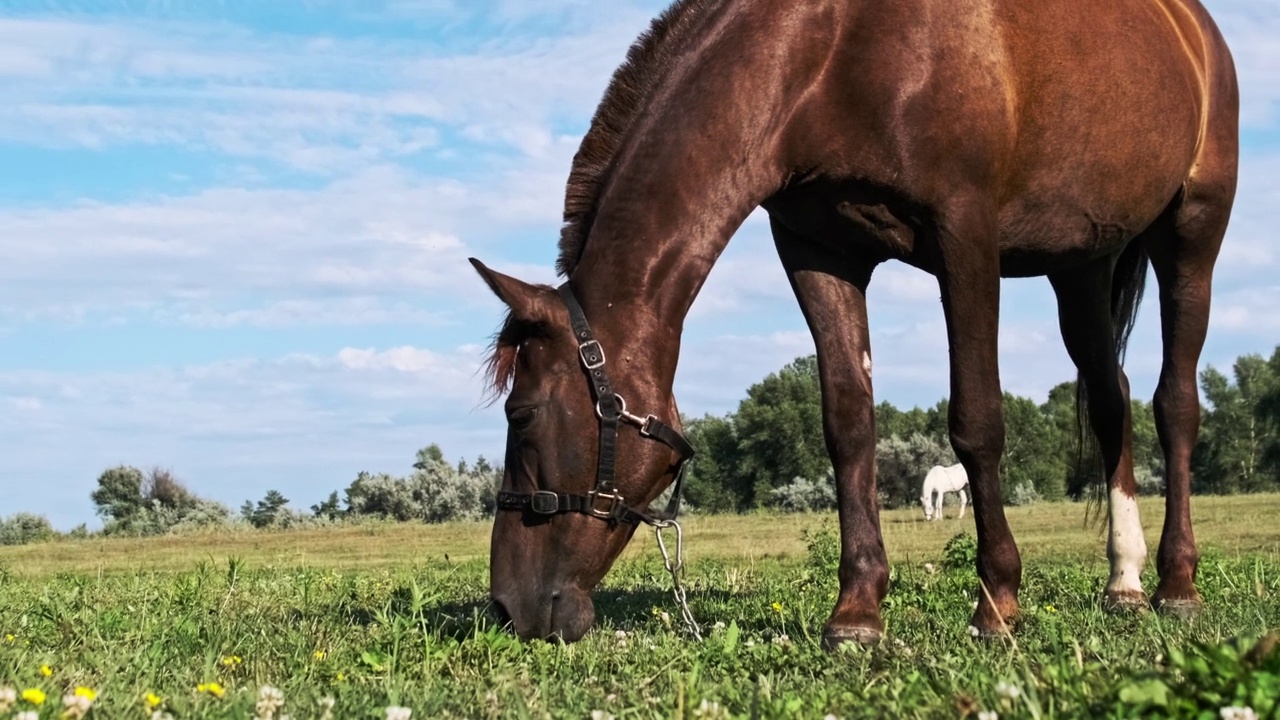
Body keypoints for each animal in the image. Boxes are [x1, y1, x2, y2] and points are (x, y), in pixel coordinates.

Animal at [465, 0, 1233, 645]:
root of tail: (1195, 30)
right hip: (1082, 264)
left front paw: (996, 601)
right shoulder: (820, 252)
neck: (832, 53)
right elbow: (848, 423)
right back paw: (1124, 581)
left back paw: (1177, 584)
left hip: (1192, 237)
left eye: (522, 414)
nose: (506, 606)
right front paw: (858, 612)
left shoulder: (966, 236)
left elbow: (977, 419)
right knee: (1111, 402)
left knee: (1174, 404)